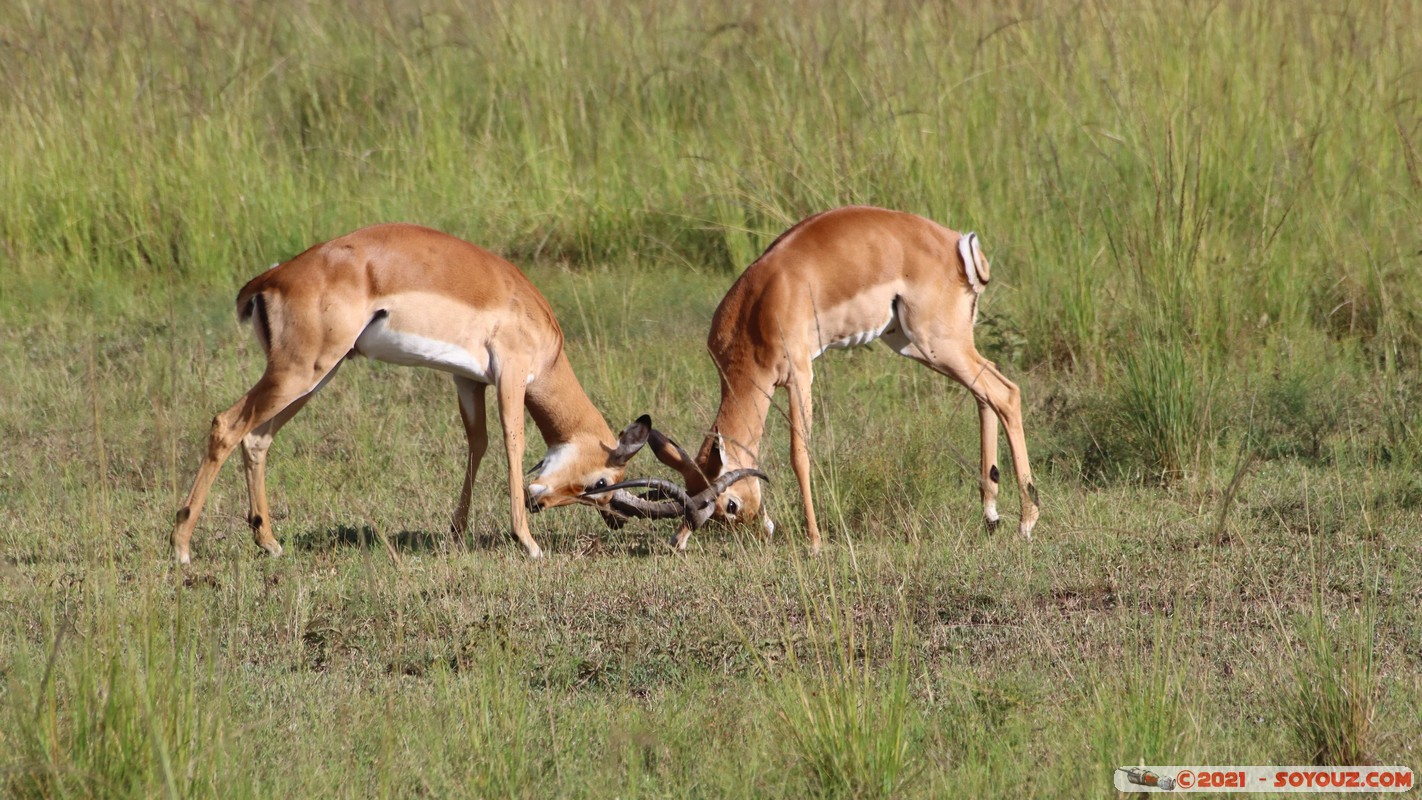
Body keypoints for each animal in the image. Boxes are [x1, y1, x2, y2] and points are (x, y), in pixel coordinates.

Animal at [170, 223, 750, 563]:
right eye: (600, 481)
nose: (540, 503)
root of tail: (271, 279)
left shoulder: (468, 379)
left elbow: (478, 444)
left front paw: (456, 534)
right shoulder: (512, 374)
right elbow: (513, 440)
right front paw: (527, 543)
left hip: (315, 375)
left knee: (257, 438)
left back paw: (269, 542)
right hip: (302, 370)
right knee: (226, 425)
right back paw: (181, 548)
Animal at [585, 206, 1039, 552]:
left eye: (730, 505)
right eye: (712, 513)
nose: (759, 531)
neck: (756, 308)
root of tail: (959, 243)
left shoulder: (800, 376)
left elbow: (798, 454)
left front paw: (816, 541)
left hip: (935, 342)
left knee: (1006, 393)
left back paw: (1026, 521)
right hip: (916, 344)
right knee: (985, 394)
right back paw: (991, 515)